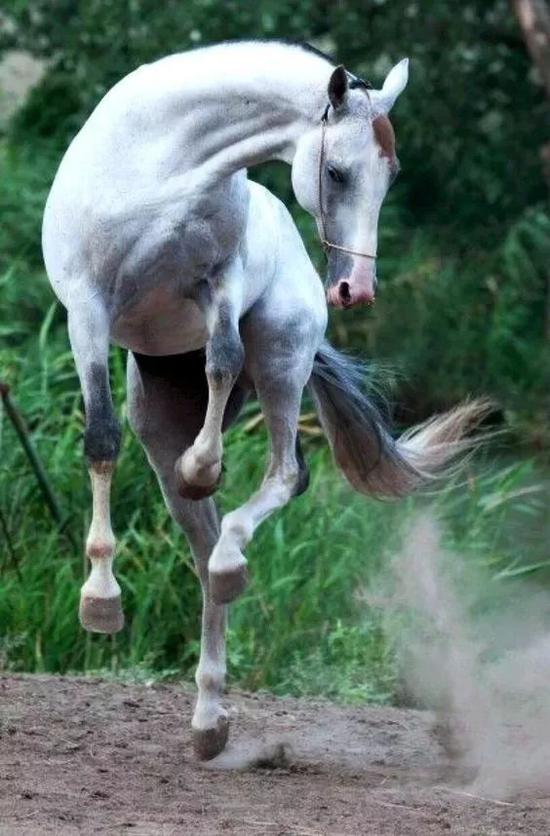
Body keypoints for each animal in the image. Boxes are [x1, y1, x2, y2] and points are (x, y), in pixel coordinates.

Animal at [42, 40, 486, 759]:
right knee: (203, 554)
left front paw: (205, 466)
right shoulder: (87, 311)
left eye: (390, 174)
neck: (160, 164)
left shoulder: (219, 285)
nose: (356, 289)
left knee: (282, 476)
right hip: (158, 419)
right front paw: (101, 600)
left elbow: (222, 359)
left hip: (280, 357)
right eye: (335, 171)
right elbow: (100, 438)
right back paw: (208, 717)